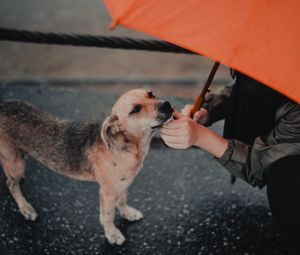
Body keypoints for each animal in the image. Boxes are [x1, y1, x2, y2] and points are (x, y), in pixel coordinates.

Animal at [0, 89, 173, 245]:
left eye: (151, 94)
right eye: (136, 109)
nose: (168, 105)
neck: (129, 146)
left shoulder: (123, 184)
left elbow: (122, 200)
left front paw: (127, 213)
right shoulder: (107, 192)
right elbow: (107, 215)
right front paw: (112, 234)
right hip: (16, 163)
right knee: (11, 185)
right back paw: (26, 208)